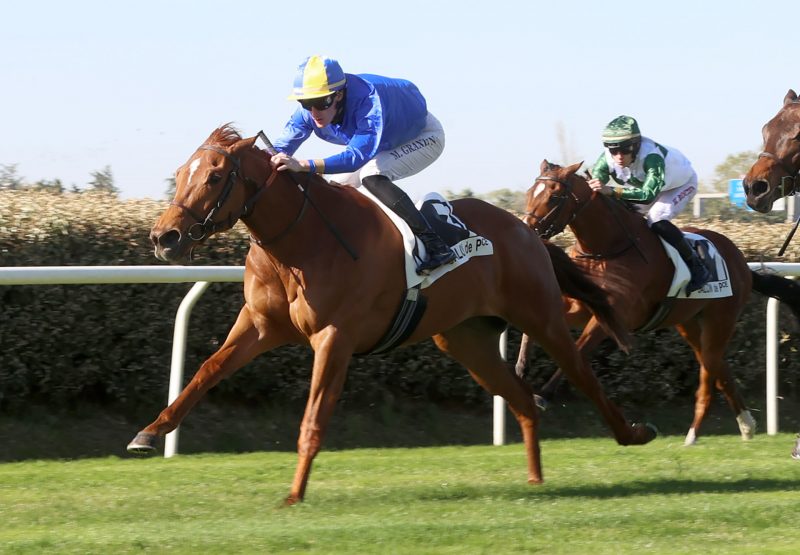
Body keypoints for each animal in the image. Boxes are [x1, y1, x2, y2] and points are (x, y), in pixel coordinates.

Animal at [125, 125, 656, 504]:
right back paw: (535, 480)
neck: (299, 243)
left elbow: (313, 419)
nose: (164, 237)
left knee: (582, 374)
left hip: (539, 316)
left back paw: (633, 433)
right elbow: (207, 370)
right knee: (523, 400)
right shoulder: (258, 326)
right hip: (466, 340)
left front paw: (294, 494)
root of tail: (526, 231)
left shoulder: (334, 337)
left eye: (215, 176)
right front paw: (150, 432)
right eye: (181, 171)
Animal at [516, 159, 800, 446]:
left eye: (554, 197)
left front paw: (542, 395)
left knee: (709, 373)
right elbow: (537, 324)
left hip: (721, 318)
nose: (527, 231)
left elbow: (578, 351)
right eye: (529, 192)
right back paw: (744, 424)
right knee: (720, 367)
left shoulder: (611, 317)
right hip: (687, 322)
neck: (606, 249)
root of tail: (741, 261)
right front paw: (520, 367)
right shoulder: (579, 306)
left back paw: (695, 434)